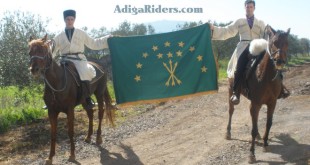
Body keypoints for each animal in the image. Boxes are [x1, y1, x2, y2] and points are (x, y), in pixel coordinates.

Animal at [27, 34, 114, 165]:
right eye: (30, 52)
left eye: (43, 50)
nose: (34, 69)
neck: (57, 82)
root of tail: (100, 67)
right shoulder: (51, 112)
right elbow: (53, 133)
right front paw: (50, 157)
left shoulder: (69, 110)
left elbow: (70, 131)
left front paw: (72, 155)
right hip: (84, 100)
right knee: (90, 113)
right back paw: (88, 137)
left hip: (99, 94)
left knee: (100, 113)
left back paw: (98, 138)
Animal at [225, 26, 290, 164]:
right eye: (274, 42)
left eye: (287, 43)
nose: (280, 61)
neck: (266, 76)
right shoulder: (255, 104)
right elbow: (253, 130)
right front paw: (252, 154)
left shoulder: (272, 103)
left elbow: (268, 124)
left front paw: (265, 144)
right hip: (230, 91)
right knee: (231, 111)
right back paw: (228, 133)